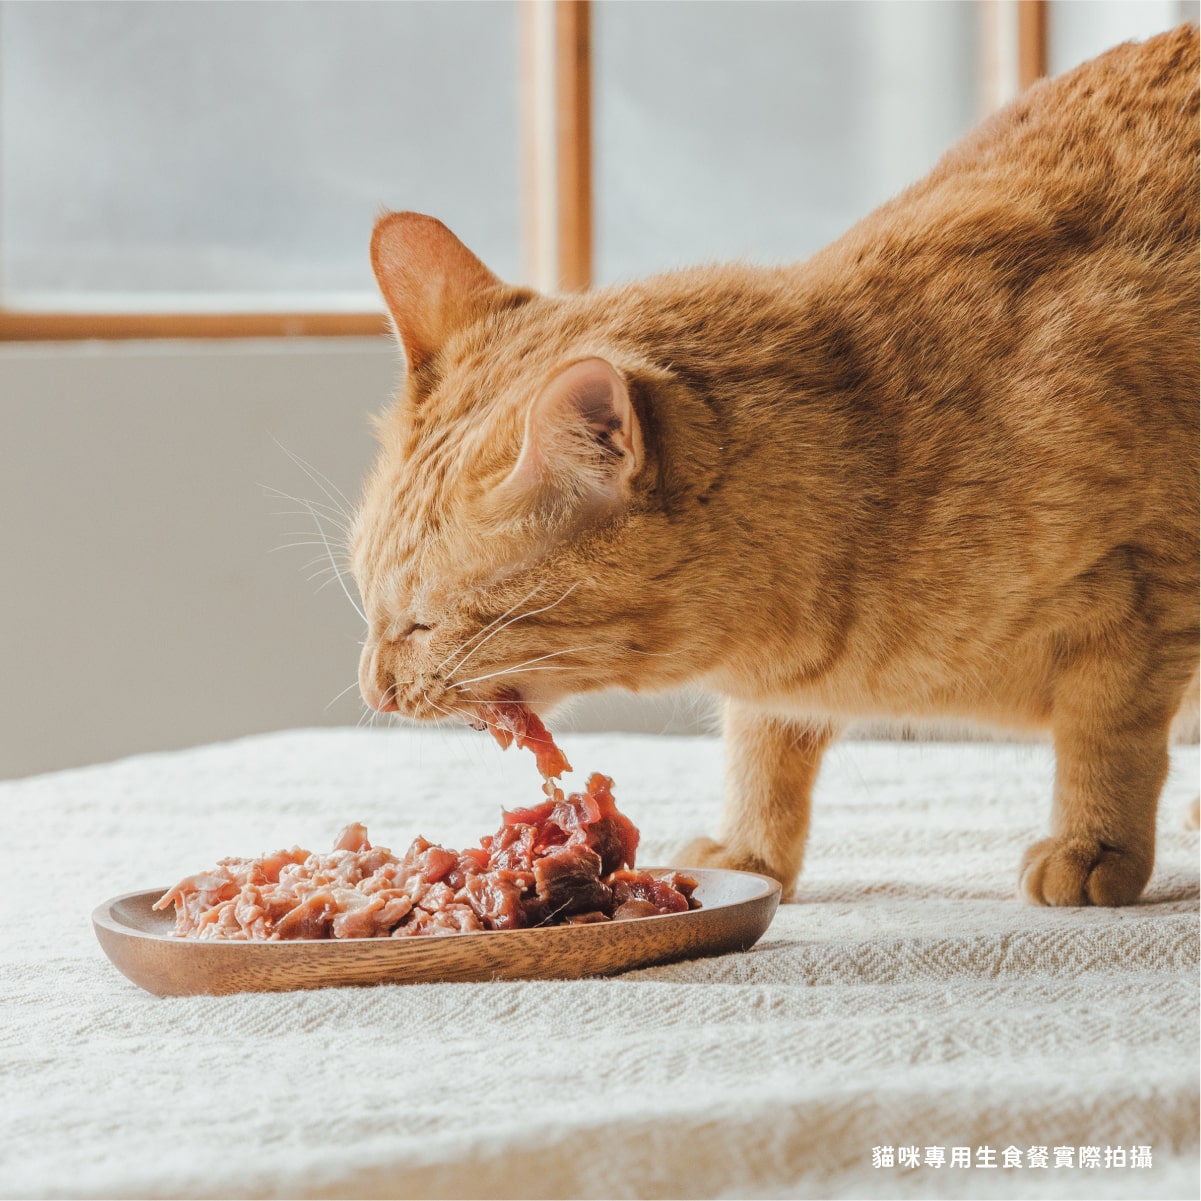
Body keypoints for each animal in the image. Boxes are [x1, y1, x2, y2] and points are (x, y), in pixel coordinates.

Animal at [355, 28, 1201, 903]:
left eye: (422, 623)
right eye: (366, 601)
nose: (372, 688)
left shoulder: (1147, 601)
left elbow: (1105, 740)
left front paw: (1092, 842)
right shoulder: (777, 691)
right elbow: (762, 749)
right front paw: (750, 849)